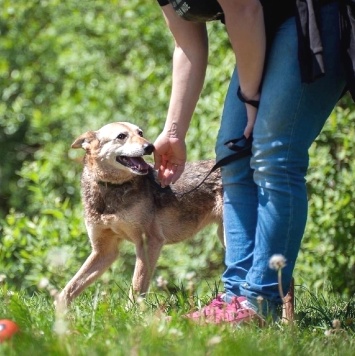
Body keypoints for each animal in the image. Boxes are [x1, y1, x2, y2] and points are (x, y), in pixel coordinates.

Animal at [57, 122, 225, 306]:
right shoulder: (104, 250)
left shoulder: (148, 241)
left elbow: (137, 285)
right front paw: (59, 312)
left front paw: (132, 311)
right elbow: (68, 289)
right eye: (121, 136)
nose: (150, 147)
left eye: (140, 133)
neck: (112, 189)